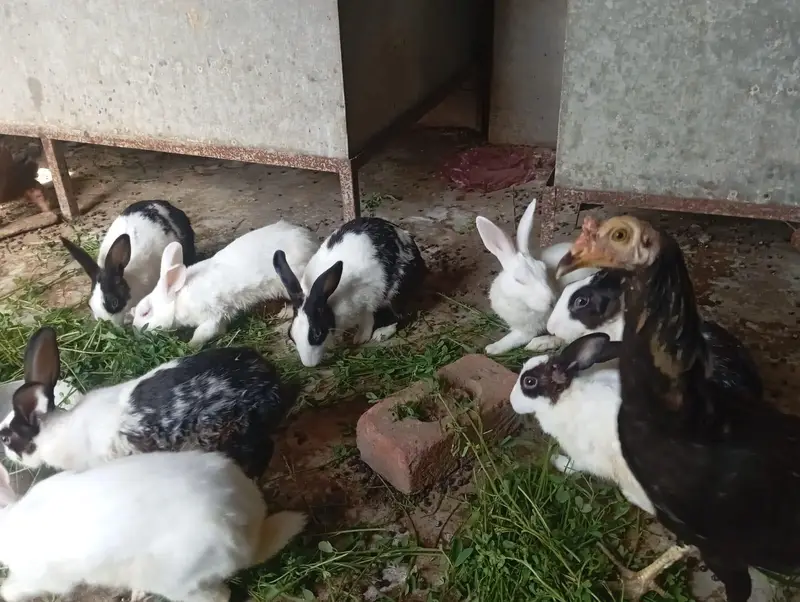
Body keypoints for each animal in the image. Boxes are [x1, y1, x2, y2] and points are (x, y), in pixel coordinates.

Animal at [0, 449, 307, 602]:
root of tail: (250, 529)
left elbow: (16, 589)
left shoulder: (44, 578)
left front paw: (5, 592)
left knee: (220, 596)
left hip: (178, 580)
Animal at [132, 220, 318, 348]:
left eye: (145, 312)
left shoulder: (212, 314)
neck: (178, 299)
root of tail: (311, 243)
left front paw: (191, 346)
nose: (135, 329)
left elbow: (203, 332)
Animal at [273, 216, 426, 368]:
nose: (309, 364)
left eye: (317, 333)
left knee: (403, 314)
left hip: (396, 291)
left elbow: (367, 319)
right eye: (291, 334)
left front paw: (361, 338)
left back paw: (381, 333)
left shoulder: (367, 299)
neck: (328, 300)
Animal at [476, 197, 597, 356]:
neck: (518, 301)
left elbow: (513, 339)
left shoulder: (527, 330)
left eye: (543, 269)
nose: (552, 301)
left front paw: (492, 348)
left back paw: (539, 344)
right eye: (518, 280)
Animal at [509, 332, 654, 513]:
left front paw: (557, 460)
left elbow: (574, 466)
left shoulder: (582, 453)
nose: (511, 402)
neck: (566, 397)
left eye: (529, 382)